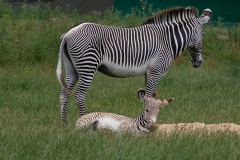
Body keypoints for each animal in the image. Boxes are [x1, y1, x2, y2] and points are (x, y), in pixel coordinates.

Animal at [56, 6, 212, 123]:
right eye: (203, 34)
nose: (199, 62)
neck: (167, 41)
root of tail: (69, 33)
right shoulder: (155, 71)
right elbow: (148, 97)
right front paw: (147, 122)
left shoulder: (149, 73)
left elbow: (149, 96)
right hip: (88, 65)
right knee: (80, 95)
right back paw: (84, 120)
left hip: (72, 68)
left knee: (64, 93)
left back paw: (65, 124)